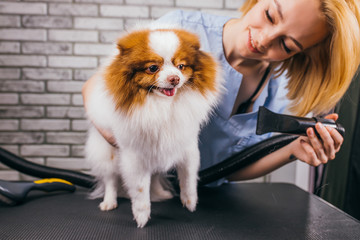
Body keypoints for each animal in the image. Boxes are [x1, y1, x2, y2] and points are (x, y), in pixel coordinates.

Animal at [84, 25, 224, 228]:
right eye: (152, 68)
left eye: (181, 66)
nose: (175, 78)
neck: (163, 106)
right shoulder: (135, 155)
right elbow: (140, 189)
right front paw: (142, 216)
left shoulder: (187, 146)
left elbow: (188, 178)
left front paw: (190, 202)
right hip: (106, 153)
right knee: (111, 179)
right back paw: (109, 201)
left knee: (156, 174)